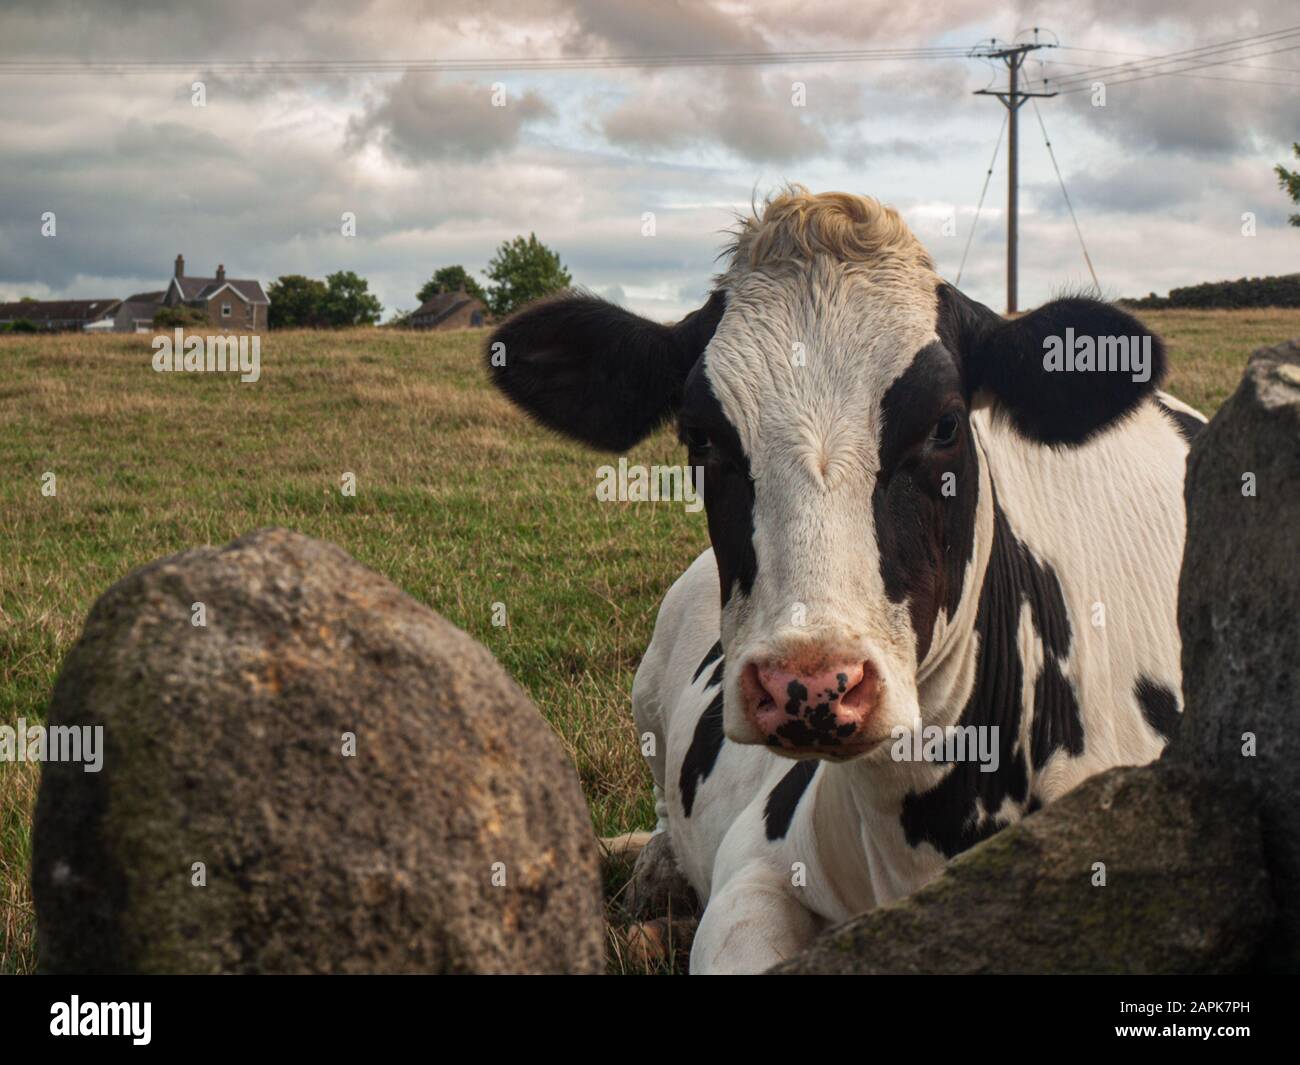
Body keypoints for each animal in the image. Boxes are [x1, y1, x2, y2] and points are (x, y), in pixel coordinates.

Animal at [486, 187, 1207, 974]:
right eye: (699, 435)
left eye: (946, 424)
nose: (809, 684)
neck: (921, 820)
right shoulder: (757, 862)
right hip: (647, 694)